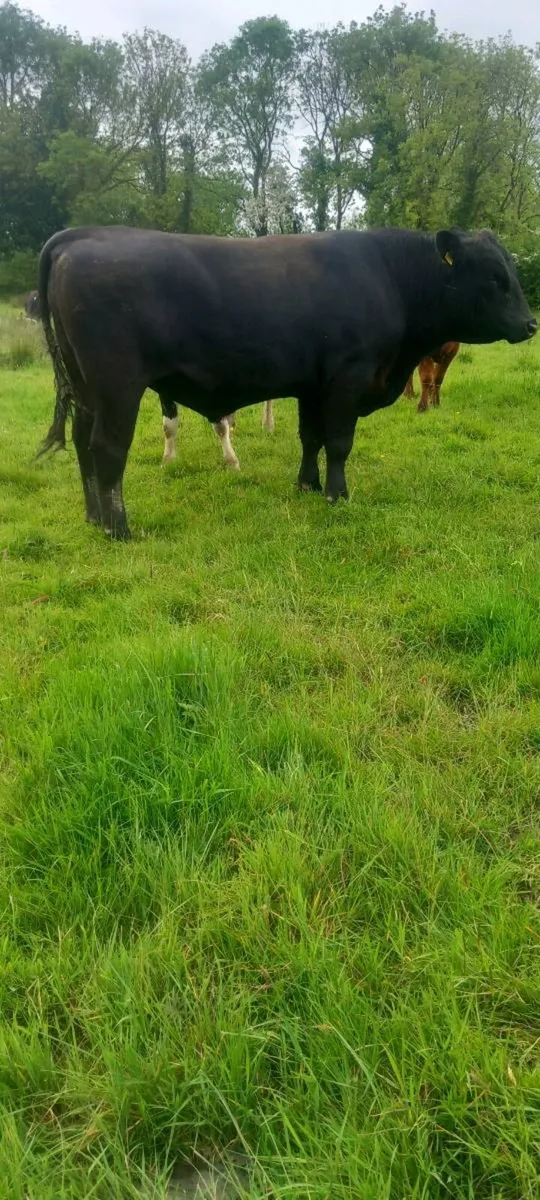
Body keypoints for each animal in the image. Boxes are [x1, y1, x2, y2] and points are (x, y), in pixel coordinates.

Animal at [36, 225, 536, 540]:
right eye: (494, 276)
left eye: (512, 271)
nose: (531, 324)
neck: (391, 277)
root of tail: (80, 233)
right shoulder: (348, 376)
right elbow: (339, 442)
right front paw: (337, 494)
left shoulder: (314, 385)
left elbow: (310, 438)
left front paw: (306, 485)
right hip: (116, 385)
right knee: (107, 448)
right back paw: (117, 527)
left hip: (85, 388)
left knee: (81, 441)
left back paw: (93, 516)